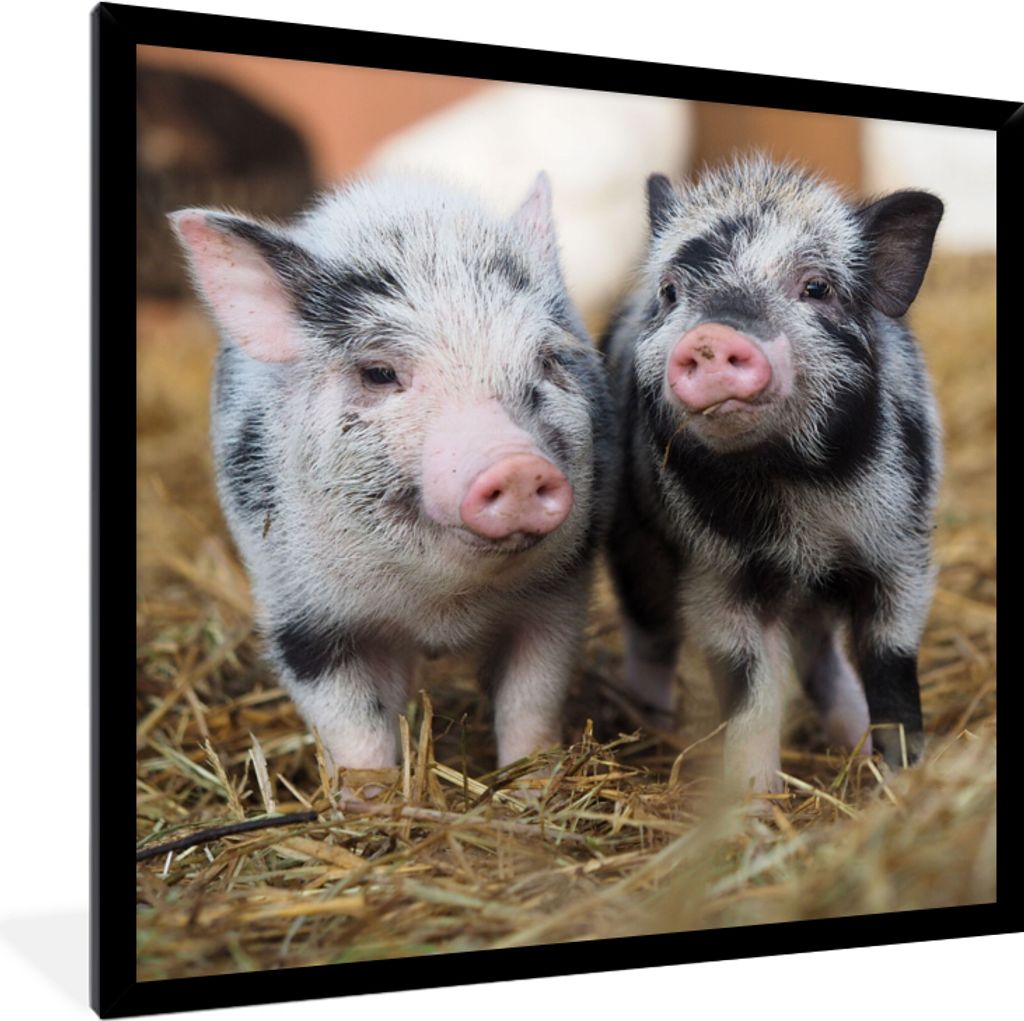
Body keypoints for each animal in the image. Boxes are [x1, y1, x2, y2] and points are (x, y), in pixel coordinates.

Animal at [169, 173, 617, 781]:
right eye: (379, 373)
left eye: (547, 361)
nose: (518, 466)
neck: (441, 608)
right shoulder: (299, 613)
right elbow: (354, 729)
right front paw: (371, 797)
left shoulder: (559, 594)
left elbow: (531, 702)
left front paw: (532, 784)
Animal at [603, 155, 943, 795]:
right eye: (671, 291)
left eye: (816, 287)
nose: (713, 337)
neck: (797, 491)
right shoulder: (718, 573)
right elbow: (749, 686)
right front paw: (756, 797)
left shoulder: (900, 551)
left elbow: (891, 663)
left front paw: (901, 777)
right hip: (634, 547)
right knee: (650, 636)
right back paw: (655, 724)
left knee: (823, 658)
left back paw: (851, 742)